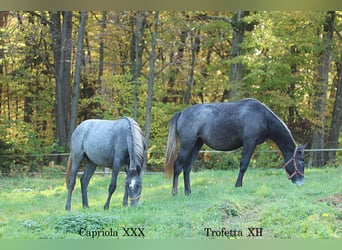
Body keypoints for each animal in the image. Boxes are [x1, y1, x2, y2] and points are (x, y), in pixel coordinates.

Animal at [164, 97, 306, 195]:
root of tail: (182, 112)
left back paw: (188, 191)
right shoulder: (249, 142)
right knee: (178, 166)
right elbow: (243, 165)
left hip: (196, 145)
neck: (262, 116)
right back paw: (174, 192)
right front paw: (238, 185)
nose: (300, 183)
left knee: (187, 168)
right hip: (187, 145)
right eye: (302, 163)